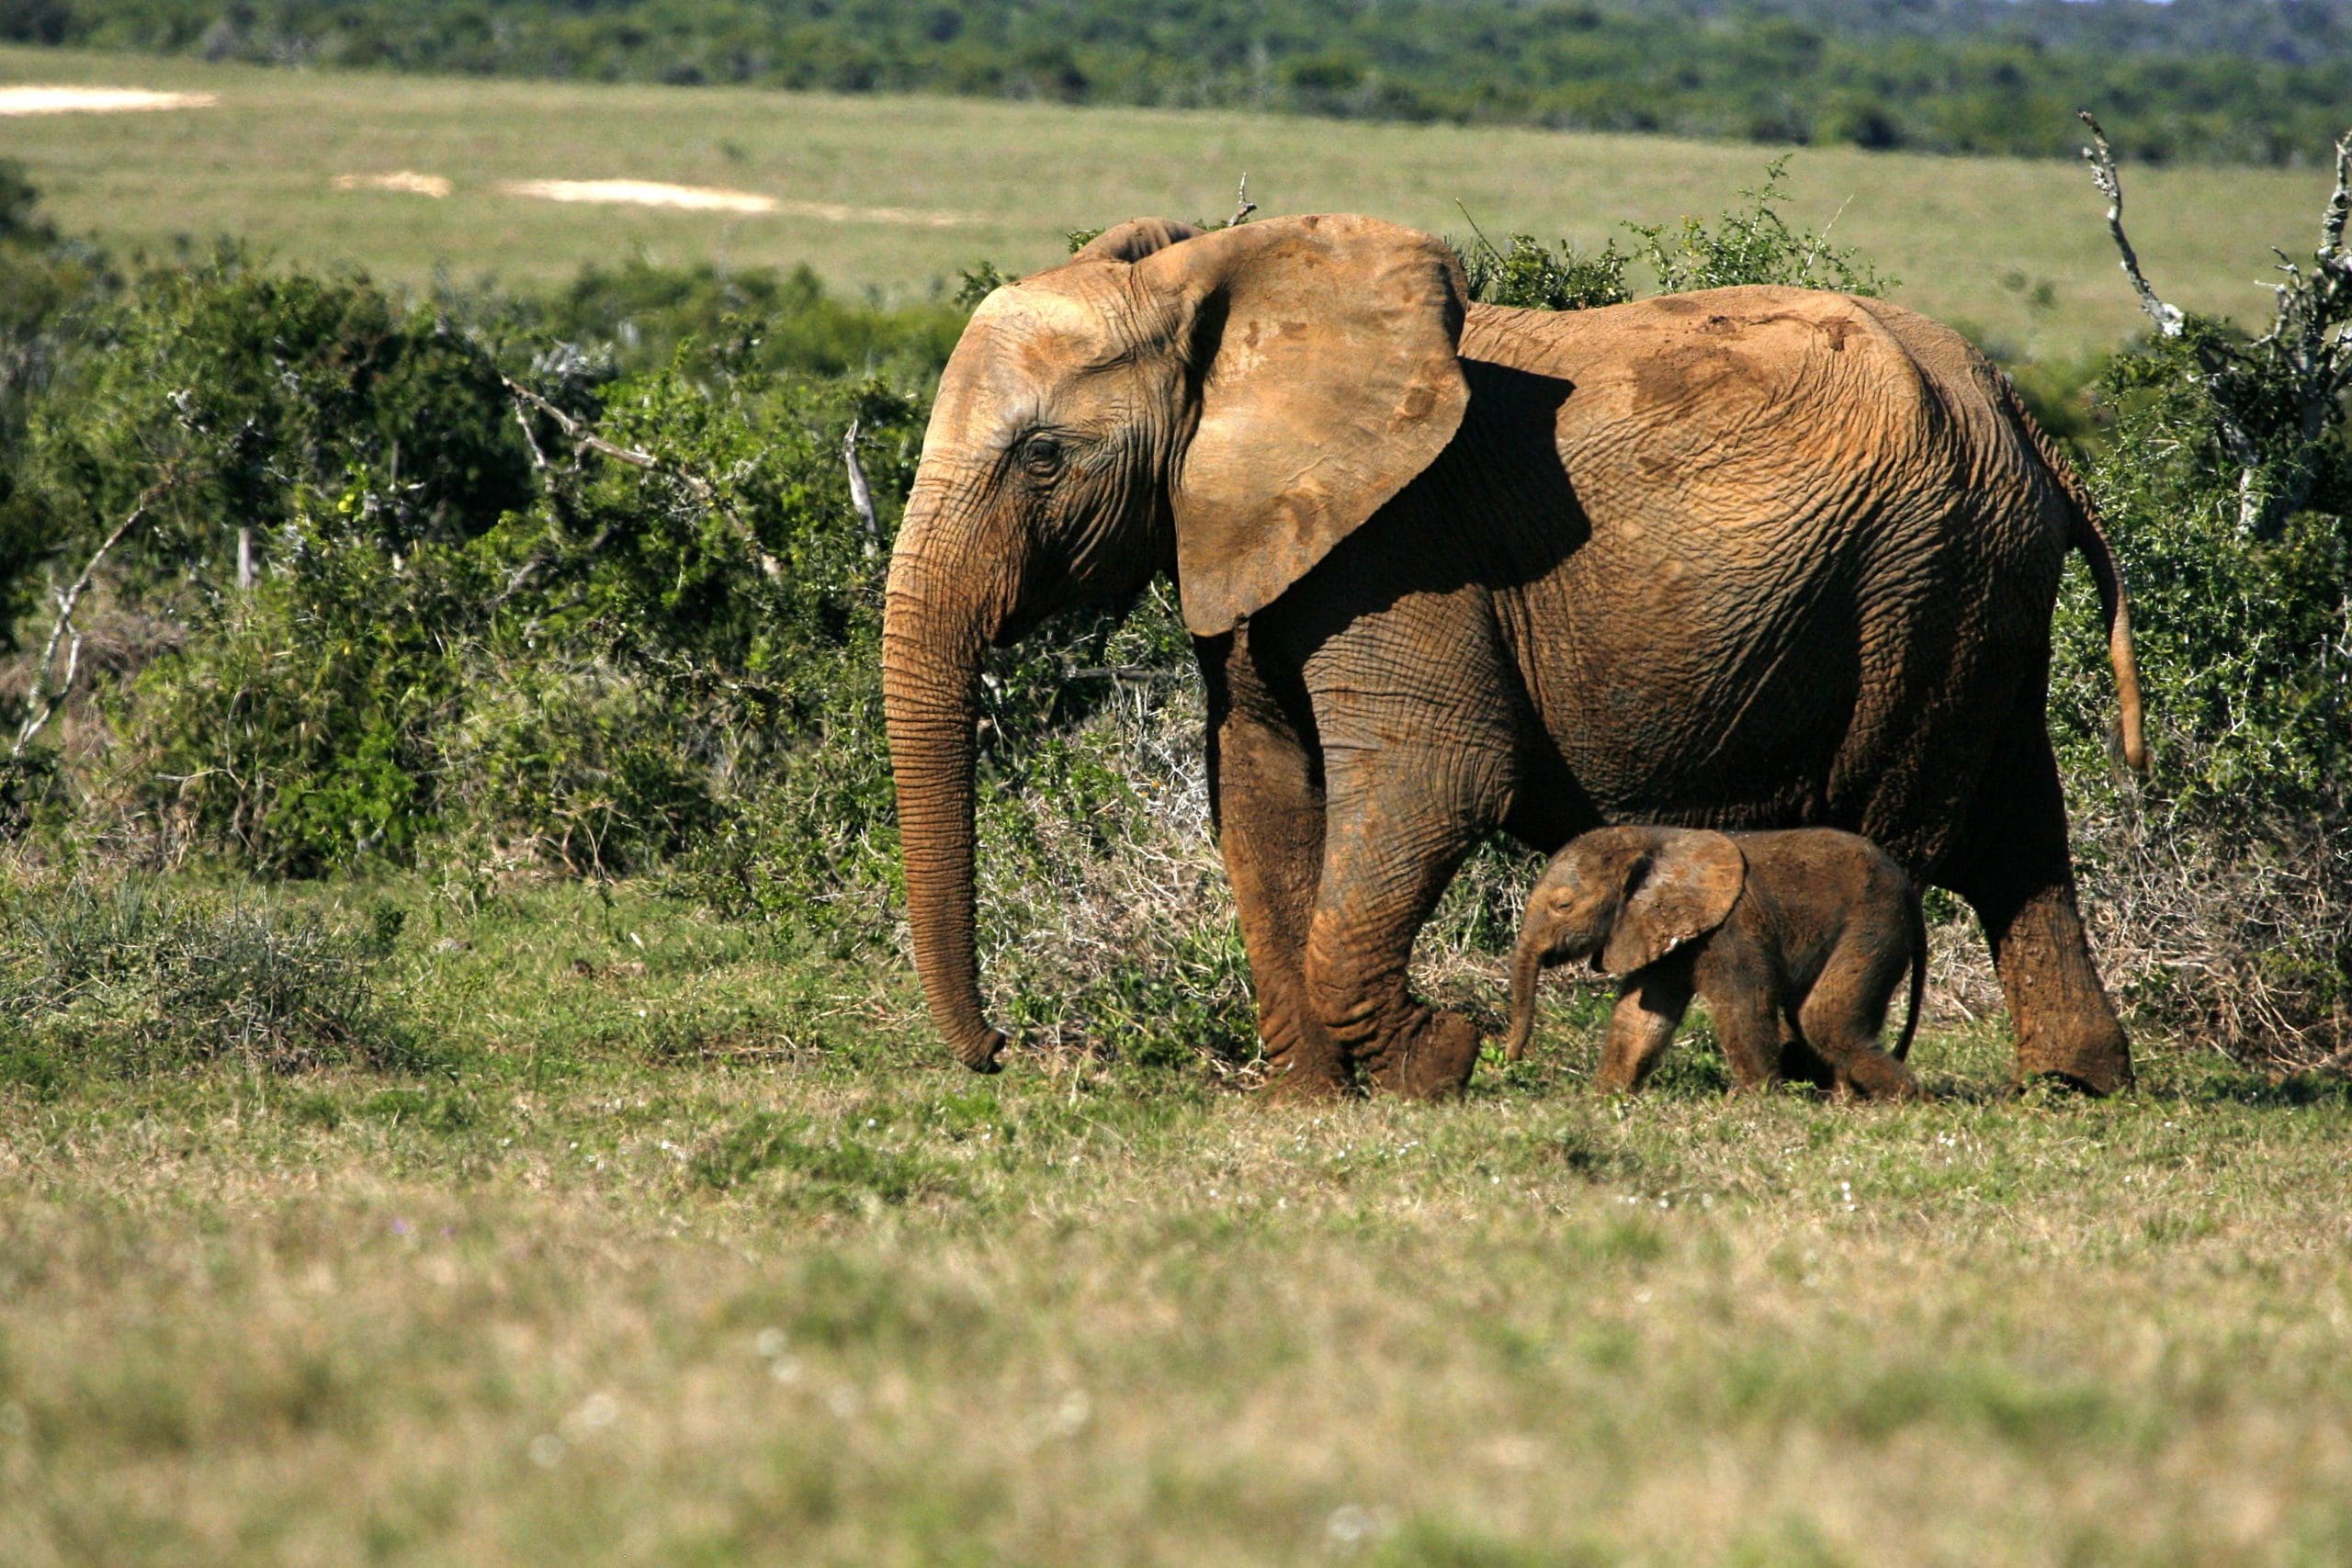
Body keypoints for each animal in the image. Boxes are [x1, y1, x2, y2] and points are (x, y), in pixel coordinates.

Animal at [1505, 822, 1928, 1104]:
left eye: (1563, 905)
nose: (1509, 1061)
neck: (1656, 841)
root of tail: (1910, 889)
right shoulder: (1661, 928)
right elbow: (1641, 1016)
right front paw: (1605, 1099)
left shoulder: (1730, 929)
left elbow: (1744, 1003)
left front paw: (1760, 1104)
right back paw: (1848, 1103)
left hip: (1875, 924)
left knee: (1824, 1020)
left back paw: (1908, 1100)